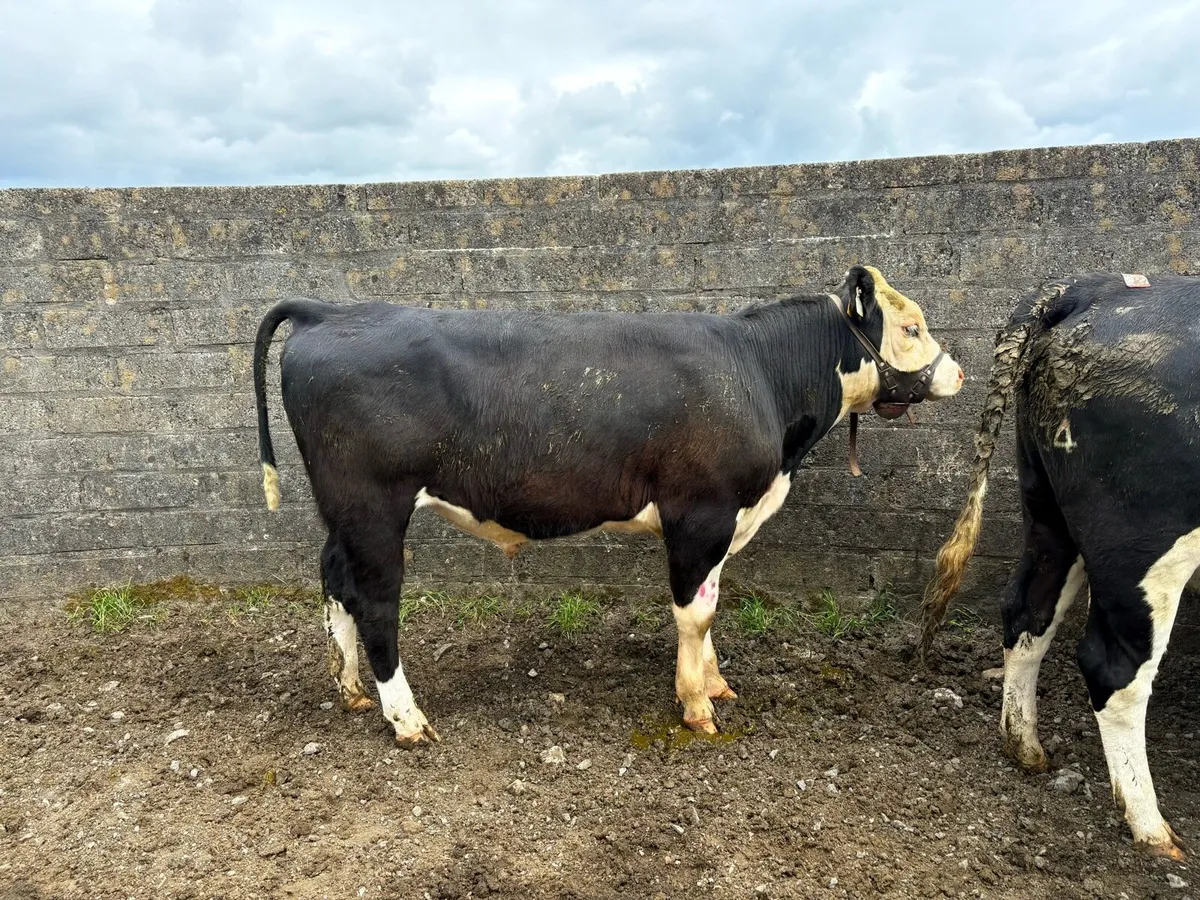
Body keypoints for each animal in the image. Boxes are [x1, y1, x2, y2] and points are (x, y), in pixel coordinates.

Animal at [252, 264, 965, 749]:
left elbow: (713, 604)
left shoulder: (727, 519)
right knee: (375, 602)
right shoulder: (700, 513)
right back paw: (406, 718)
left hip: (343, 513)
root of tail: (327, 311)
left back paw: (351, 689)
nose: (959, 373)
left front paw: (715, 681)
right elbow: (695, 614)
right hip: (373, 507)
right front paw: (696, 706)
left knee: (335, 581)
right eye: (910, 327)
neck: (758, 371)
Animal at [921, 273, 1200, 861]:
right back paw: (1152, 827)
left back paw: (1025, 747)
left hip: (1048, 508)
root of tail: (1089, 287)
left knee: (1027, 611)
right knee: (1112, 666)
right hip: (1143, 540)